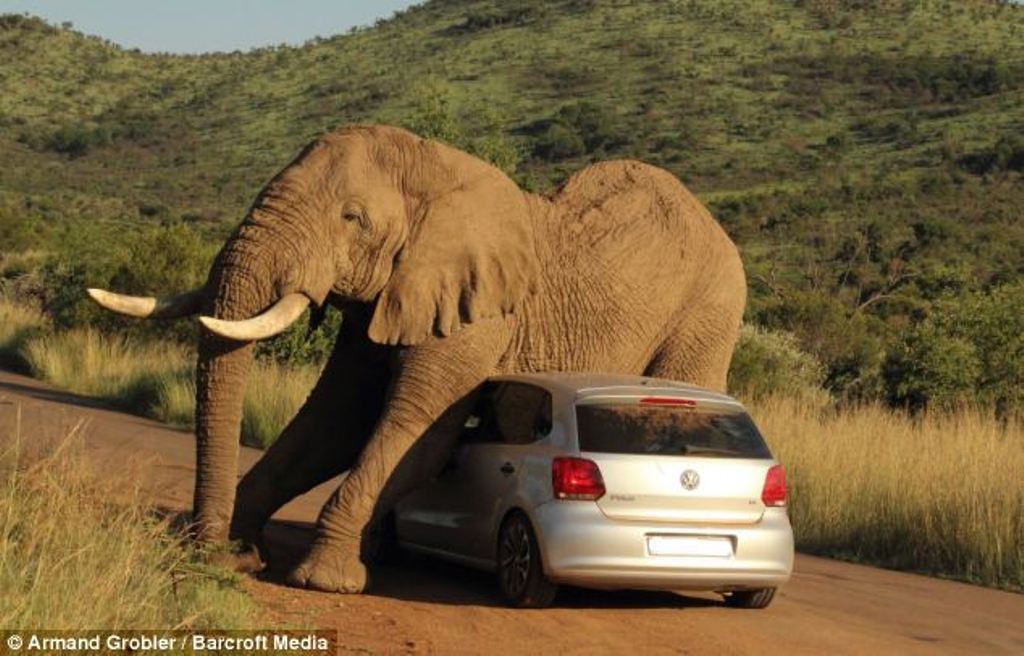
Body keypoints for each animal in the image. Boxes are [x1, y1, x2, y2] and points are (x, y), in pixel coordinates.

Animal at [88, 124, 747, 593]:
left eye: (352, 219)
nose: (206, 557)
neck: (434, 168)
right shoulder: (388, 295)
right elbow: (334, 423)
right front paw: (245, 553)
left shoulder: (477, 317)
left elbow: (416, 436)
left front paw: (324, 581)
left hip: (708, 311)